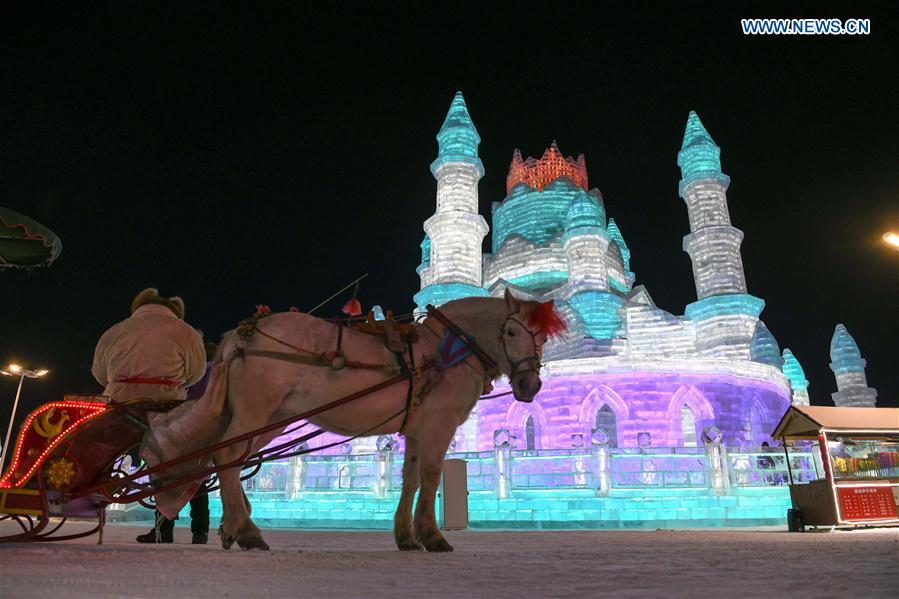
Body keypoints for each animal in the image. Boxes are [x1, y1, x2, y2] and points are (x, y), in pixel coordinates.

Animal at [154, 290, 564, 552]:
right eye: (511, 331)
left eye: (543, 337)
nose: (530, 384)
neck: (446, 349)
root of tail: (243, 334)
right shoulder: (439, 422)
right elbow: (432, 476)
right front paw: (431, 535)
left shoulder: (415, 428)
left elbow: (410, 477)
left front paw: (406, 535)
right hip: (257, 411)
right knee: (228, 457)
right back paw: (246, 529)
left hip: (272, 419)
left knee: (233, 459)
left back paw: (234, 528)